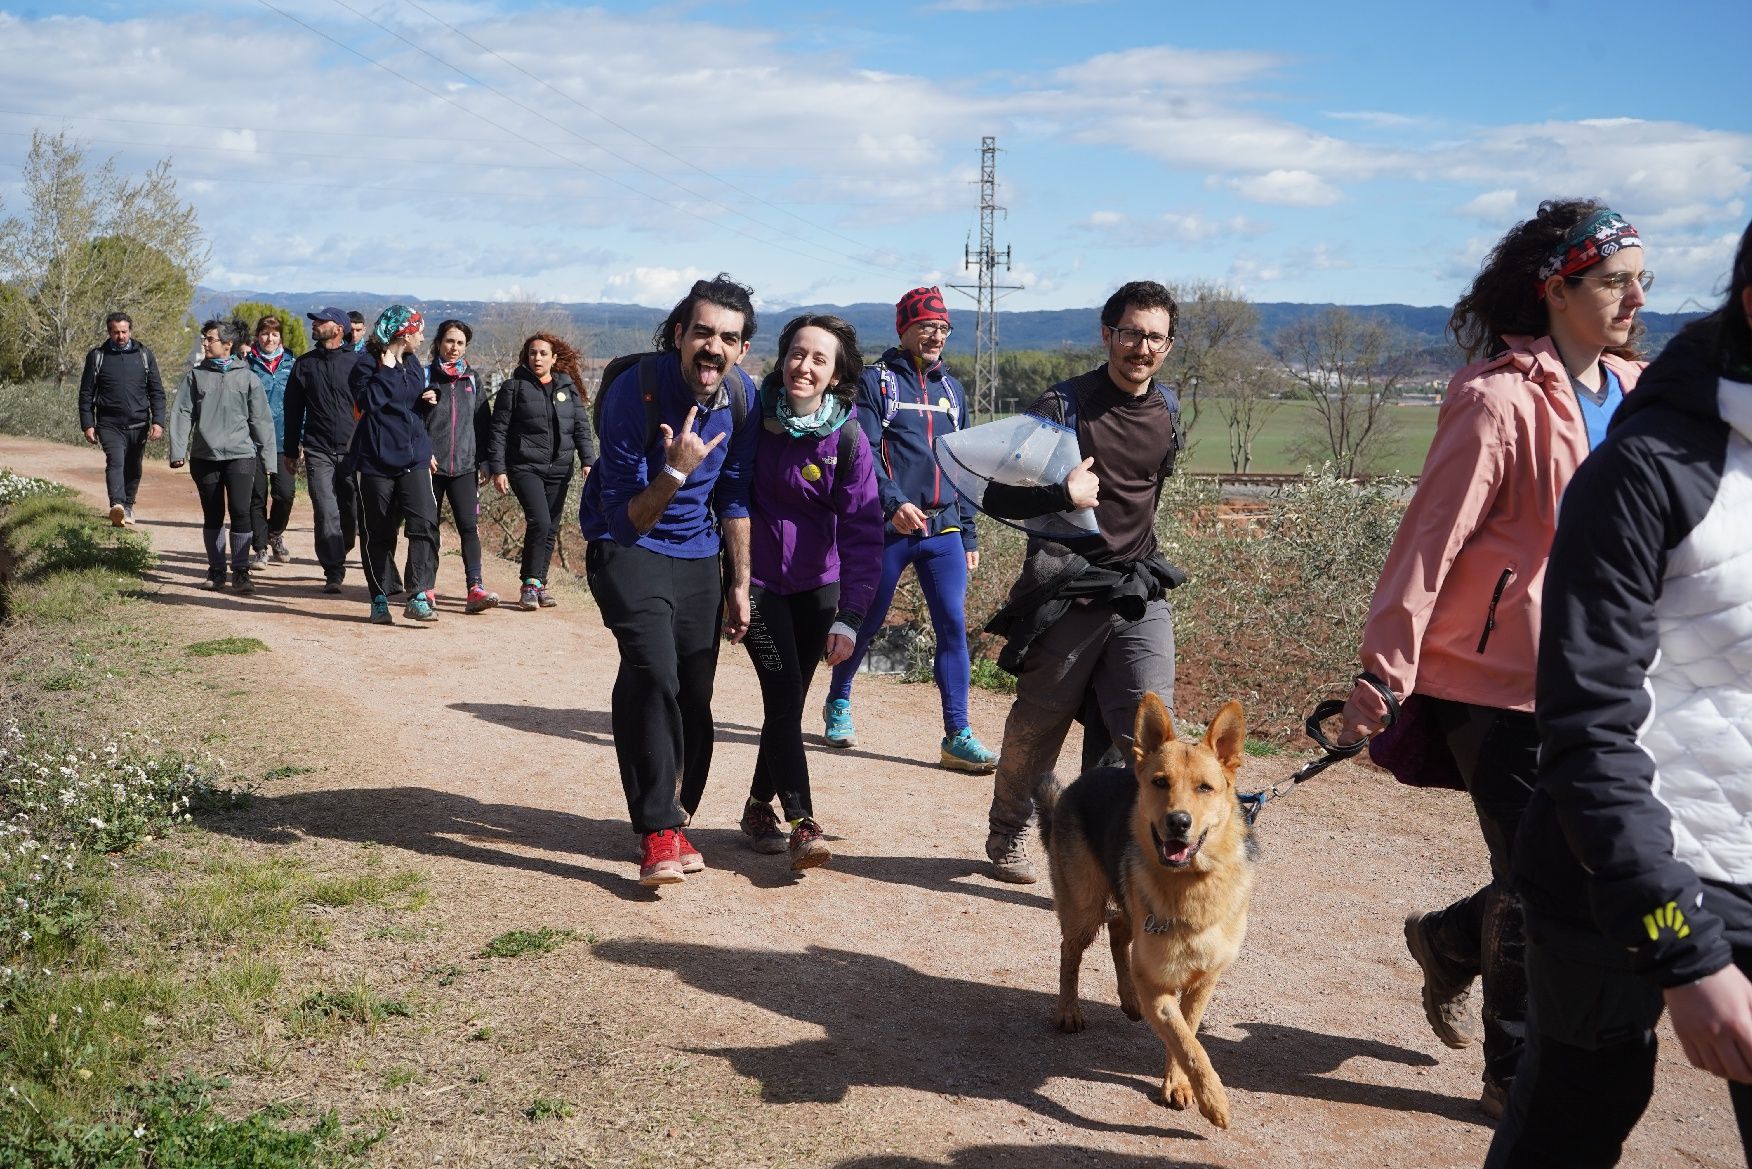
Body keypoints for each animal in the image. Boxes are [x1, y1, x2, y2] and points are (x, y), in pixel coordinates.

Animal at [1030, 690, 1254, 1128]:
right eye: (1160, 782)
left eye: (1205, 788)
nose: (1178, 822)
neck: (1192, 885)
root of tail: (1088, 777)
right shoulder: (1157, 985)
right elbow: (1187, 1042)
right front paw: (1213, 1098)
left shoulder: (1203, 981)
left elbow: (1188, 1033)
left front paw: (1179, 1085)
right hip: (1084, 908)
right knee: (1071, 952)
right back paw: (1069, 1010)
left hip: (1124, 911)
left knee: (1119, 930)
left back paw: (1128, 999)